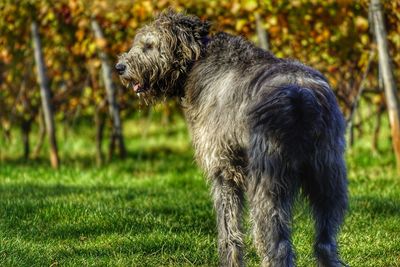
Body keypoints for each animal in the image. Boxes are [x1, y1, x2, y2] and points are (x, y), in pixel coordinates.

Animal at [115, 11, 346, 267]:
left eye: (149, 45)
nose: (119, 67)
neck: (197, 59)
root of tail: (302, 96)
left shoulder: (223, 169)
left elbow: (228, 227)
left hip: (267, 180)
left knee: (277, 242)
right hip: (327, 174)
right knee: (325, 240)